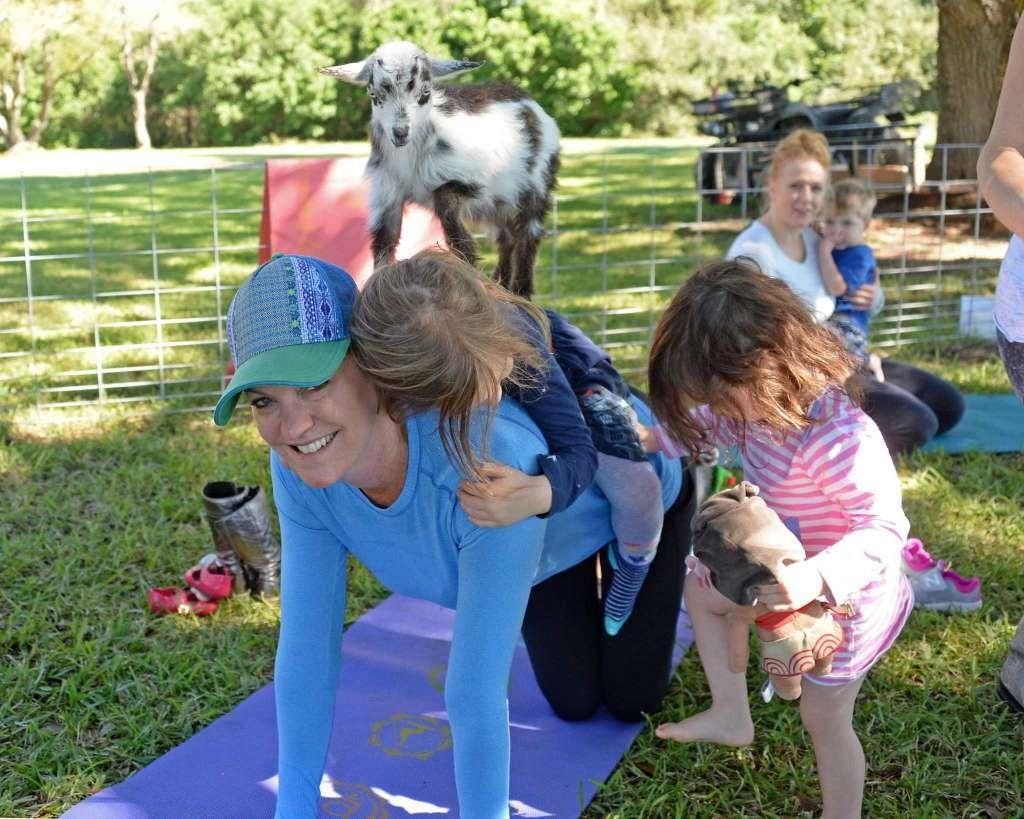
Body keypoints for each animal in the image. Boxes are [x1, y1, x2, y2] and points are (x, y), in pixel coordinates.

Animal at [319, 39, 561, 298]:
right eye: (374, 95)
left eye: (425, 93)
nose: (400, 133)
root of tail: (529, 102)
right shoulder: (387, 195)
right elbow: (385, 244)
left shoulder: (468, 181)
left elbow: (456, 233)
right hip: (496, 203)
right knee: (505, 237)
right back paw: (503, 286)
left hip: (535, 184)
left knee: (528, 236)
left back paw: (521, 291)